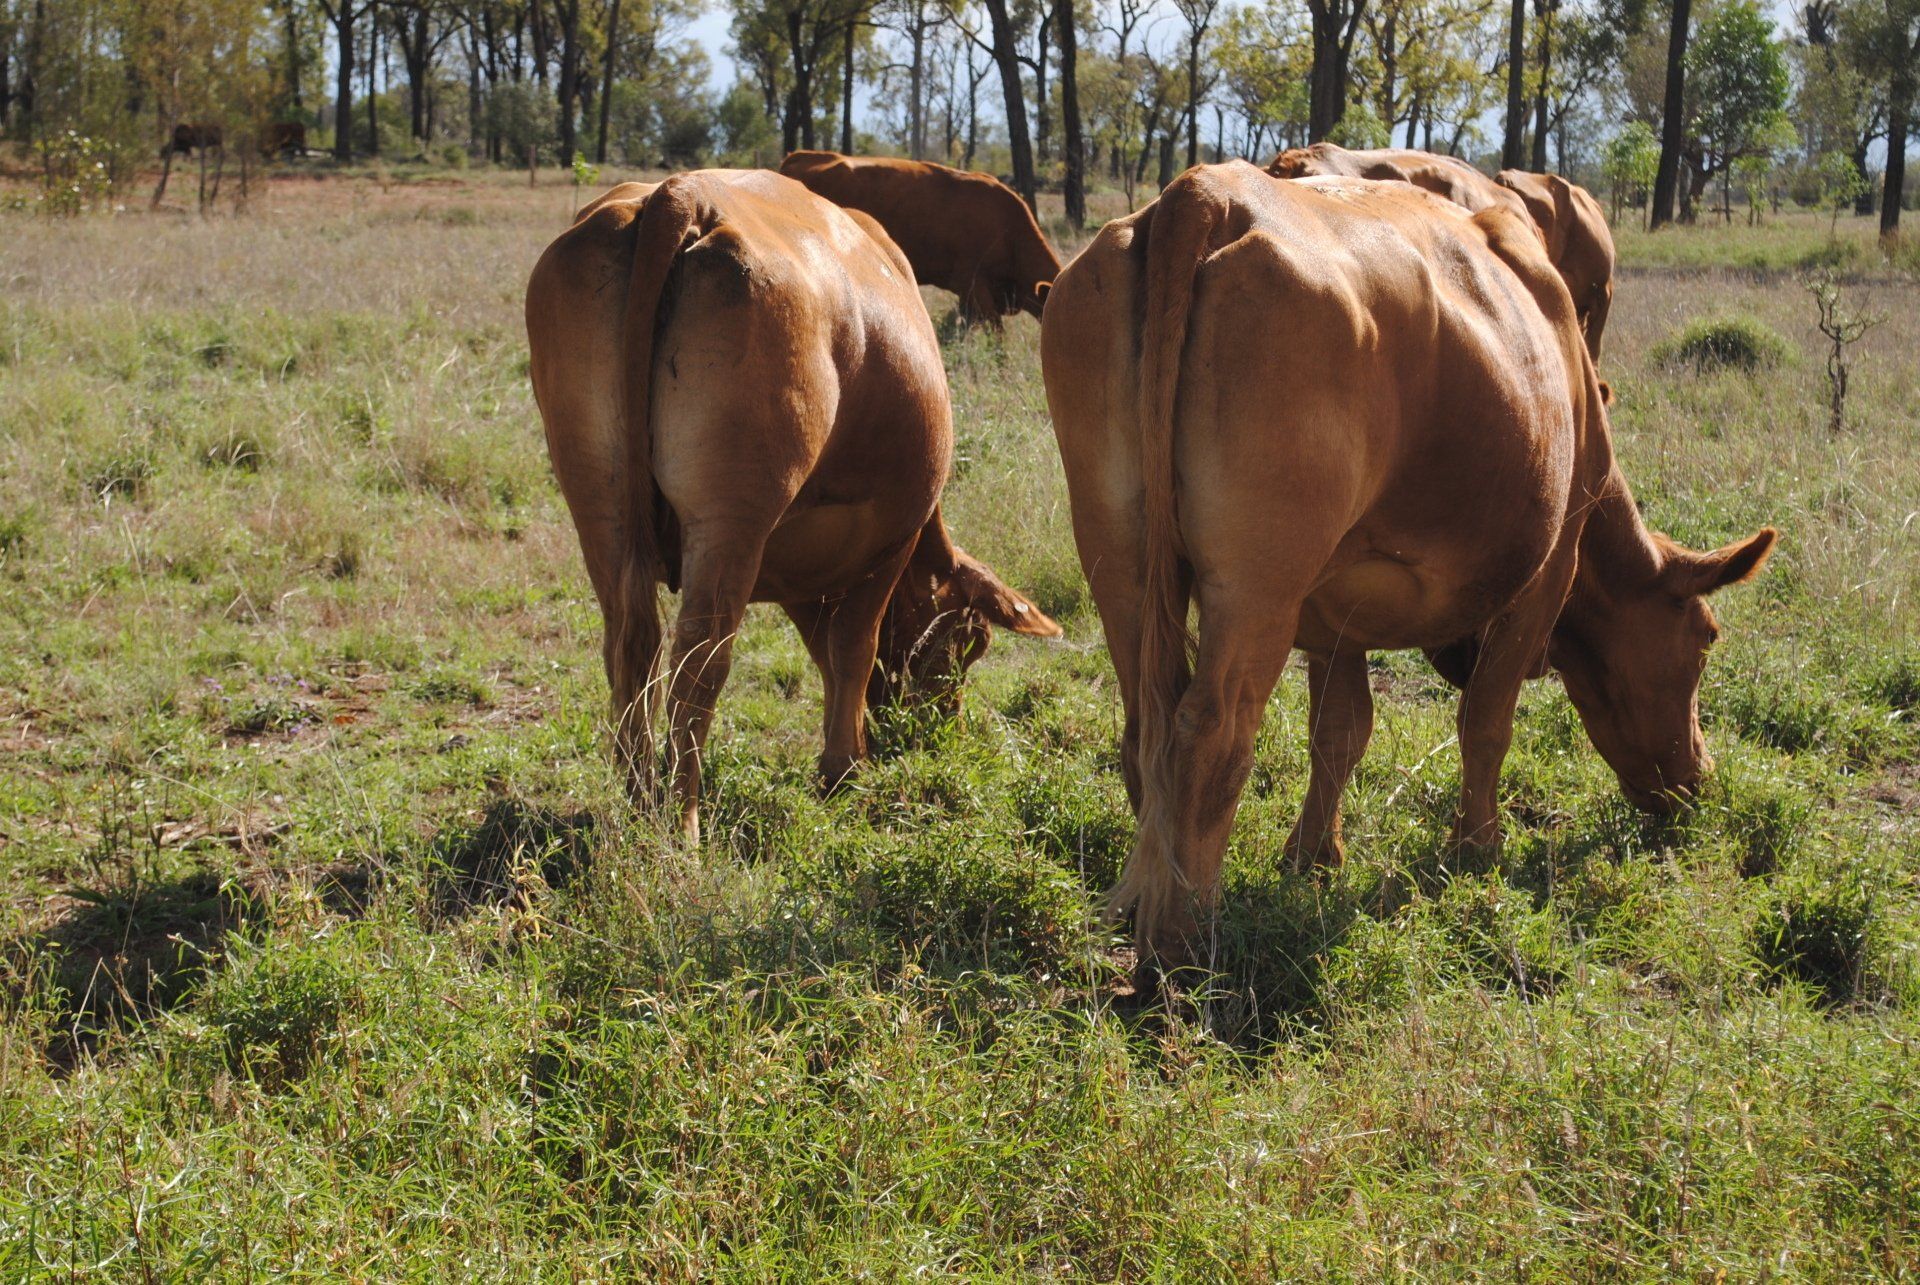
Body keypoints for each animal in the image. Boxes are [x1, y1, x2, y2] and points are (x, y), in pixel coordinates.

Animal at [526, 170, 1060, 841]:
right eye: (969, 645)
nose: (939, 730)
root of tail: (682, 194)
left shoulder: (799, 568)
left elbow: (826, 652)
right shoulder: (890, 539)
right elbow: (852, 648)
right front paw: (843, 769)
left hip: (602, 511)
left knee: (630, 644)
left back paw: (640, 801)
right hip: (731, 524)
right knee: (699, 663)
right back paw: (683, 824)